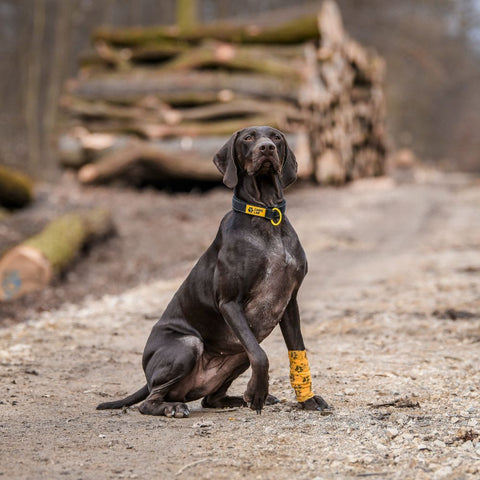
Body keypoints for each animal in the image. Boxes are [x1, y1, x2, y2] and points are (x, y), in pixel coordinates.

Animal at [97, 126, 330, 416]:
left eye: (276, 137)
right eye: (248, 138)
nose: (266, 148)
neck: (266, 215)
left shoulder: (289, 302)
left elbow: (297, 351)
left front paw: (306, 399)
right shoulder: (229, 302)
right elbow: (261, 356)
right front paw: (257, 392)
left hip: (237, 355)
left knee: (211, 398)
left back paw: (237, 399)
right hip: (188, 344)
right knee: (149, 401)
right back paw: (172, 407)